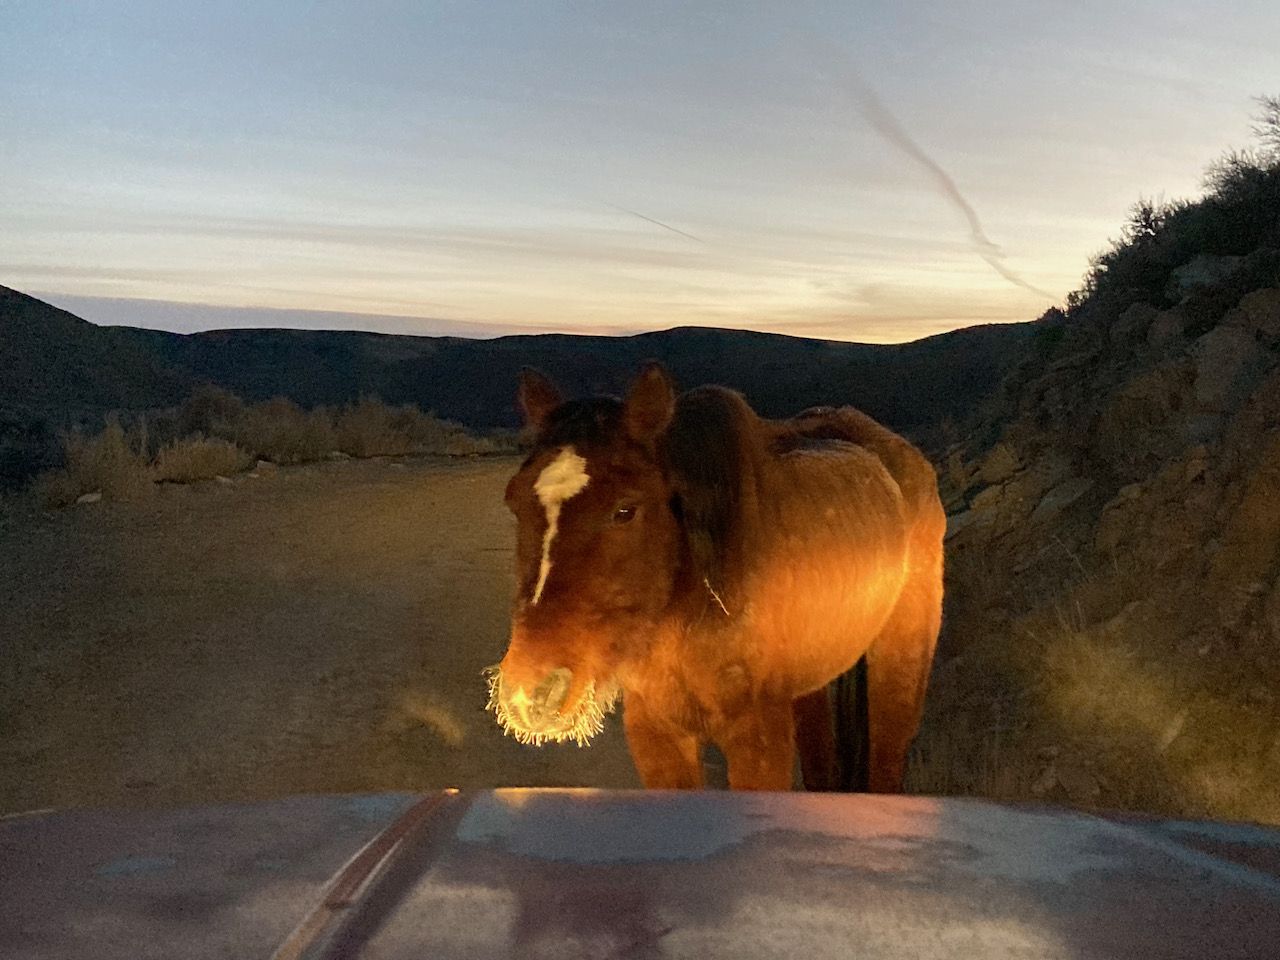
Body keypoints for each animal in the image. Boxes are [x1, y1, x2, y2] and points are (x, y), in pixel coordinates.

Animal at [483, 363, 947, 793]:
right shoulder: (657, 735)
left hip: (898, 665)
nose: (532, 695)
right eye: (514, 502)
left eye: (625, 510)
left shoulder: (758, 741)